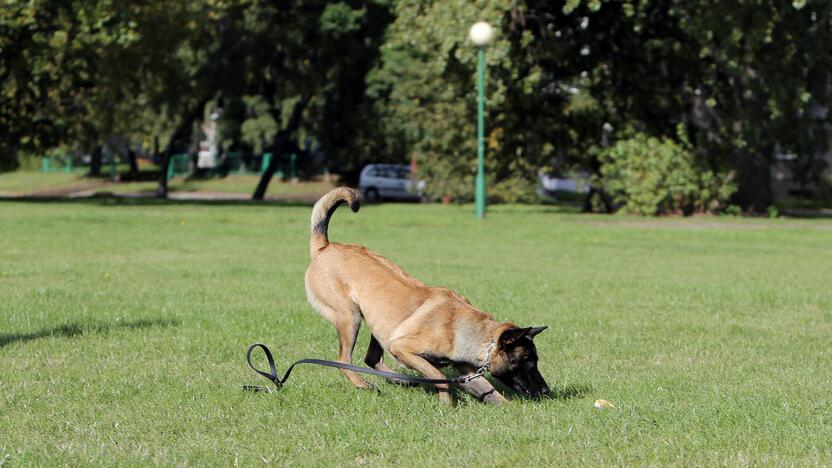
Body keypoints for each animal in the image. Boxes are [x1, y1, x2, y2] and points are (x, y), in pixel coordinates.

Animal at [302, 186, 548, 402]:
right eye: (527, 359)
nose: (545, 391)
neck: (466, 329)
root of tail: (325, 247)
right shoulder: (403, 348)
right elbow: (440, 376)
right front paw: (446, 405)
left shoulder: (466, 371)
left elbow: (491, 392)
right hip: (350, 317)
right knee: (344, 359)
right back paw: (365, 385)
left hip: (378, 324)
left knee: (371, 358)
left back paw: (401, 380)